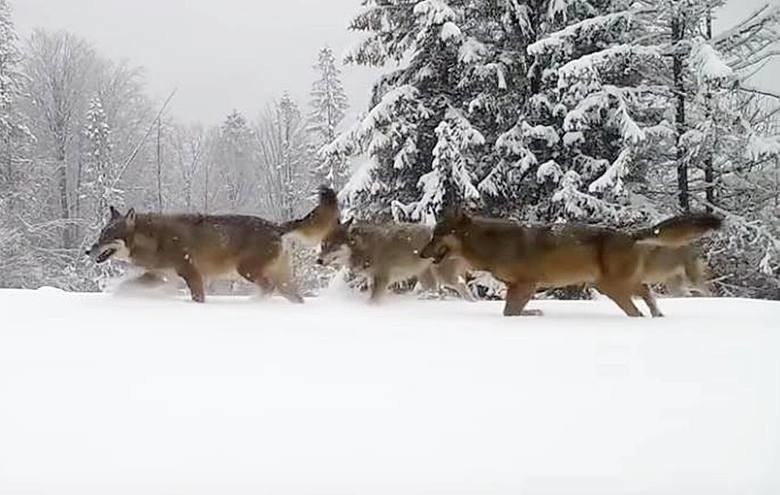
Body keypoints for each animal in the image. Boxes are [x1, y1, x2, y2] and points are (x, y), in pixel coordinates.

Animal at [87, 186, 338, 302]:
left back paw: (252, 302)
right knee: (295, 297)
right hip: (281, 279)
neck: (155, 239)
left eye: (106, 236)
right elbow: (126, 286)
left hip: (246, 270)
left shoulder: (192, 274)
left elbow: (198, 298)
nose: (89, 250)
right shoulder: (162, 277)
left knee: (268, 288)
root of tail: (276, 226)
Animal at [314, 220, 472, 302]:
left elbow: (373, 301)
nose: (318, 260)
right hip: (426, 279)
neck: (364, 247)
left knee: (463, 287)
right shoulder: (373, 279)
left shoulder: (381, 279)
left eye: (333, 247)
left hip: (445, 277)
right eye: (323, 246)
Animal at [424, 209, 724, 318]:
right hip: (616, 285)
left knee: (637, 309)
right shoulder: (516, 287)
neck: (491, 244)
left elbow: (510, 313)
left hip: (612, 287)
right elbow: (511, 311)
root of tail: (630, 234)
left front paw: (533, 314)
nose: (421, 253)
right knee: (647, 295)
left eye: (437, 236)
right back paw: (658, 316)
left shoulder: (525, 285)